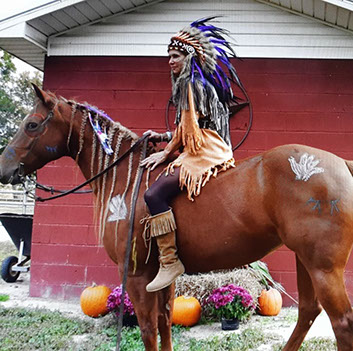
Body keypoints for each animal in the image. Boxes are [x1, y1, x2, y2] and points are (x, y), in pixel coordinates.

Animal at [0, 84, 352, 350]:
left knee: (341, 322)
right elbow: (165, 323)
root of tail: (340, 163)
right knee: (308, 311)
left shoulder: (137, 276)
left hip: (322, 267)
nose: (5, 170)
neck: (126, 178)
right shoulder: (161, 277)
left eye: (32, 124)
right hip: (305, 259)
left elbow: (148, 330)